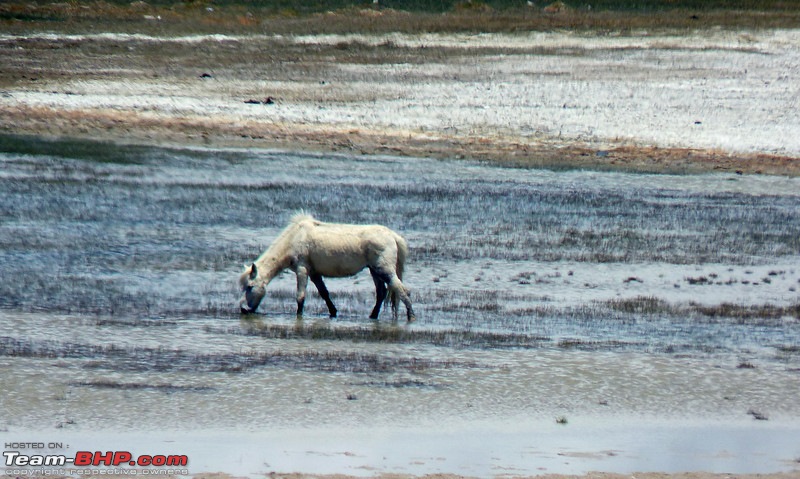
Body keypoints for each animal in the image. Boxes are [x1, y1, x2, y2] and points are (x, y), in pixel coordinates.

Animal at [238, 214, 416, 322]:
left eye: (250, 286)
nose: (244, 309)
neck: (294, 238)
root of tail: (393, 236)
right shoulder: (314, 273)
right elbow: (324, 293)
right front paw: (333, 312)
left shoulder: (302, 269)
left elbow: (300, 296)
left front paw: (299, 315)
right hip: (374, 270)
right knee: (381, 293)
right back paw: (372, 316)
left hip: (384, 270)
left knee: (402, 290)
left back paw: (411, 316)